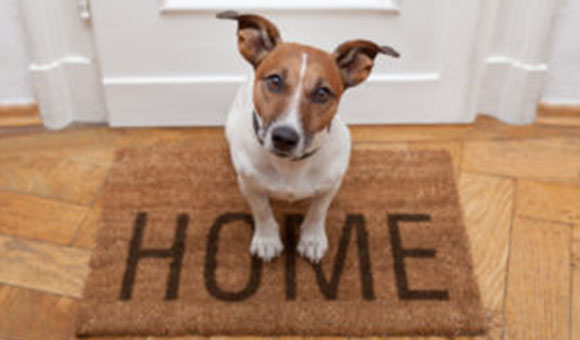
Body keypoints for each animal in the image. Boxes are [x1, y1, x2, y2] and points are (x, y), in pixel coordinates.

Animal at [218, 10, 398, 262]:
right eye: (274, 80)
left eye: (322, 93)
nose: (284, 137)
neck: (290, 166)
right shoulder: (250, 185)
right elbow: (262, 210)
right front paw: (267, 239)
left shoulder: (331, 185)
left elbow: (318, 211)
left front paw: (312, 239)